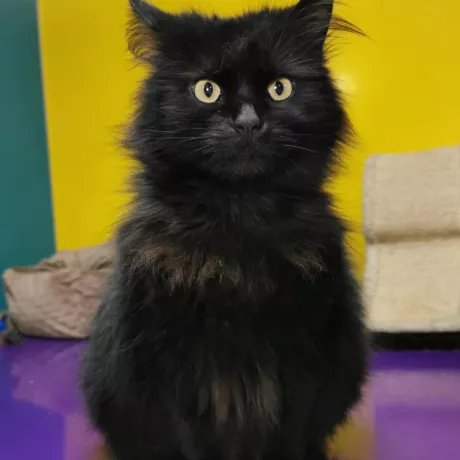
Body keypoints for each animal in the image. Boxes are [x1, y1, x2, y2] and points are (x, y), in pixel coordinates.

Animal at [80, 1, 368, 460]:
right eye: (207, 90)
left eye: (280, 88)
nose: (248, 122)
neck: (238, 224)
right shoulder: (175, 370)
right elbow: (191, 439)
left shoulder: (303, 362)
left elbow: (288, 435)